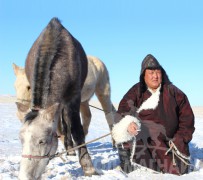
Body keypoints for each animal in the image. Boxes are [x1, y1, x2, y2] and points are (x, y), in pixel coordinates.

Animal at [18, 17, 96, 179]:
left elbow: (77, 129)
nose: (24, 176)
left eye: (42, 141)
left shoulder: (74, 97)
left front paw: (88, 167)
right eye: (21, 140)